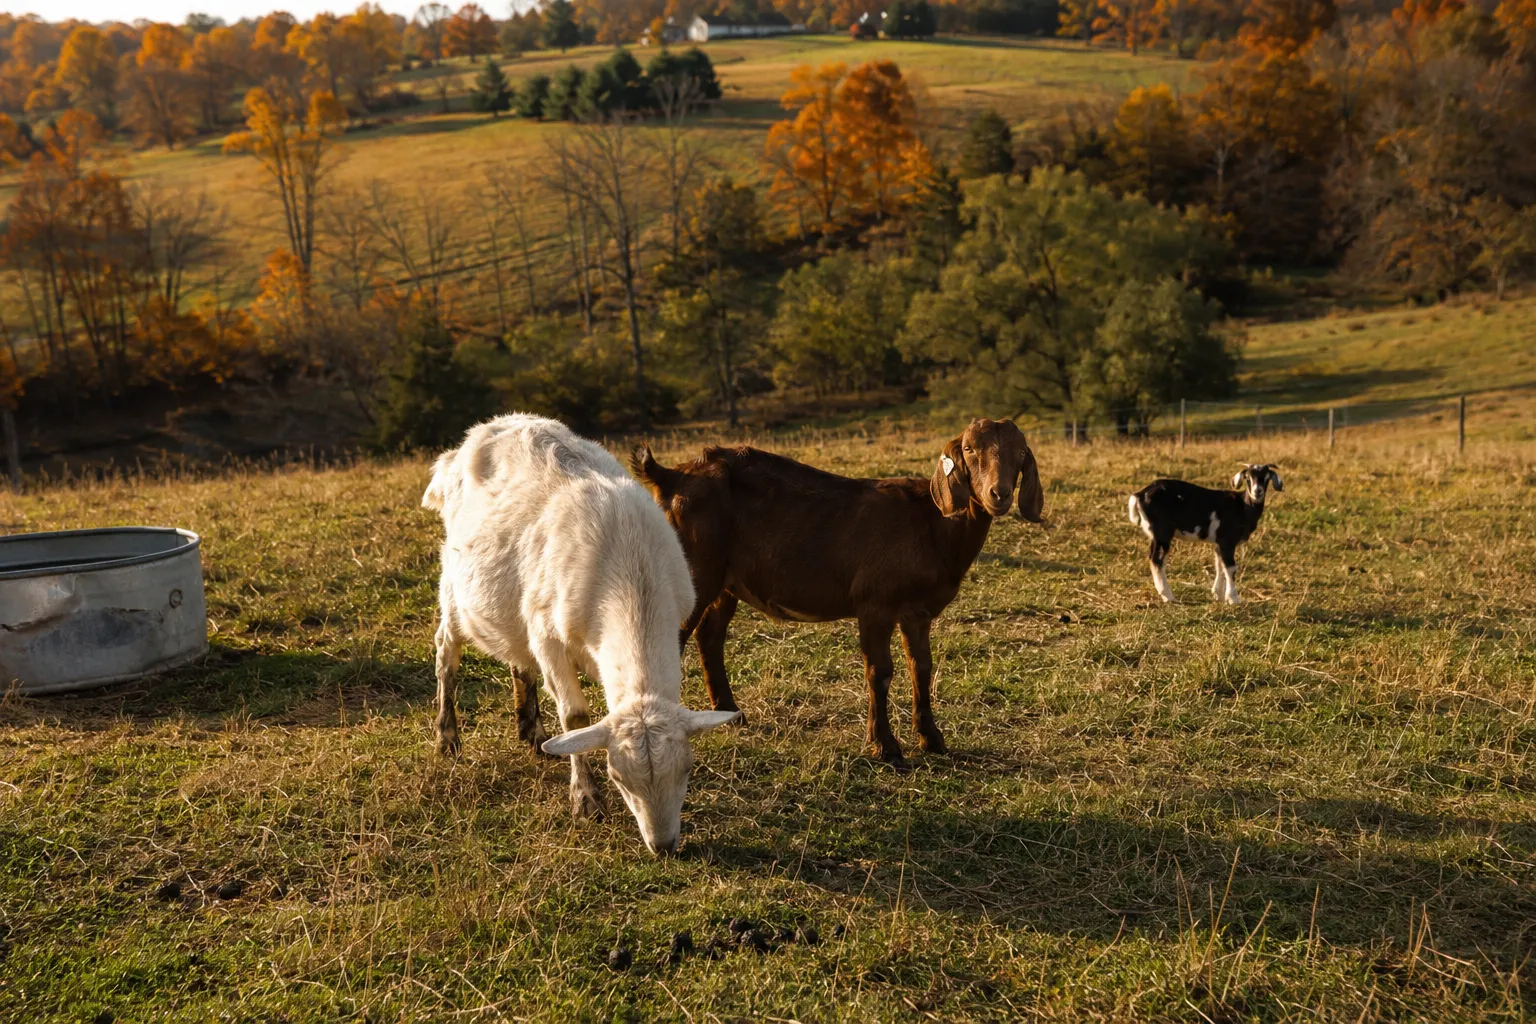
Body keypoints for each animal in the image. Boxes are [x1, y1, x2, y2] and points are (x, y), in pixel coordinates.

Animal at [423, 414, 738, 855]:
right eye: (617, 777)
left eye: (688, 770)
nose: (663, 846)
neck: (632, 572)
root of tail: (484, 430)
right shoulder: (547, 636)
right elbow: (574, 716)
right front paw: (586, 800)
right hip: (454, 589)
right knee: (446, 656)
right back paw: (447, 738)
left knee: (519, 660)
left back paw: (533, 733)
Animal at [632, 418, 1044, 769]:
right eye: (971, 449)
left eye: (1021, 453)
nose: (999, 494)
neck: (932, 524)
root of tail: (671, 476)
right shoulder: (875, 604)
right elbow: (880, 670)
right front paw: (886, 748)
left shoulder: (918, 612)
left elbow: (922, 667)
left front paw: (932, 739)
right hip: (692, 569)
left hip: (725, 580)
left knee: (710, 635)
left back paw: (730, 712)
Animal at [1127, 463, 1283, 605]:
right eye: (1248, 478)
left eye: (1266, 478)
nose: (1257, 491)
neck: (1243, 507)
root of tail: (1139, 495)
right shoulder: (1227, 541)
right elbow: (1230, 568)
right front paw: (1234, 599)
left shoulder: (1219, 543)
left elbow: (1220, 565)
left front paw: (1219, 595)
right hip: (1162, 532)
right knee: (1157, 559)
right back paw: (1168, 596)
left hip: (1156, 535)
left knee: (1152, 557)